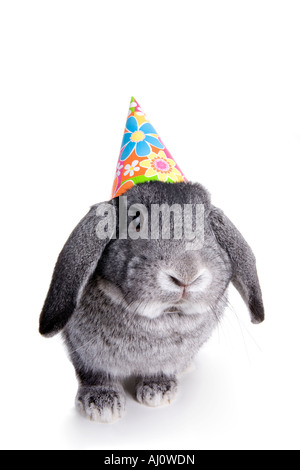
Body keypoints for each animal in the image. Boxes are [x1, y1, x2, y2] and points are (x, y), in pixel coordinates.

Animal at [38, 180, 264, 422]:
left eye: (209, 229)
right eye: (136, 223)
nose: (186, 275)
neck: (164, 316)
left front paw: (158, 391)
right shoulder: (85, 355)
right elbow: (95, 376)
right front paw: (102, 405)